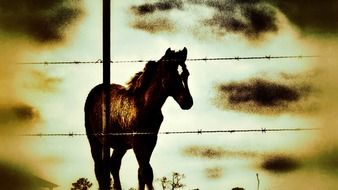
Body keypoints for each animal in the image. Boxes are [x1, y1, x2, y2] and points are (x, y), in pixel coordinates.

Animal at [84, 47, 193, 190]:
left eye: (187, 74)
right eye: (172, 74)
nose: (188, 102)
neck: (146, 105)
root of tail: (95, 90)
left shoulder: (151, 141)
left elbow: (142, 172)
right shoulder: (137, 142)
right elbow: (146, 172)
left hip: (121, 145)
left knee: (114, 165)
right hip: (94, 140)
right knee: (100, 170)